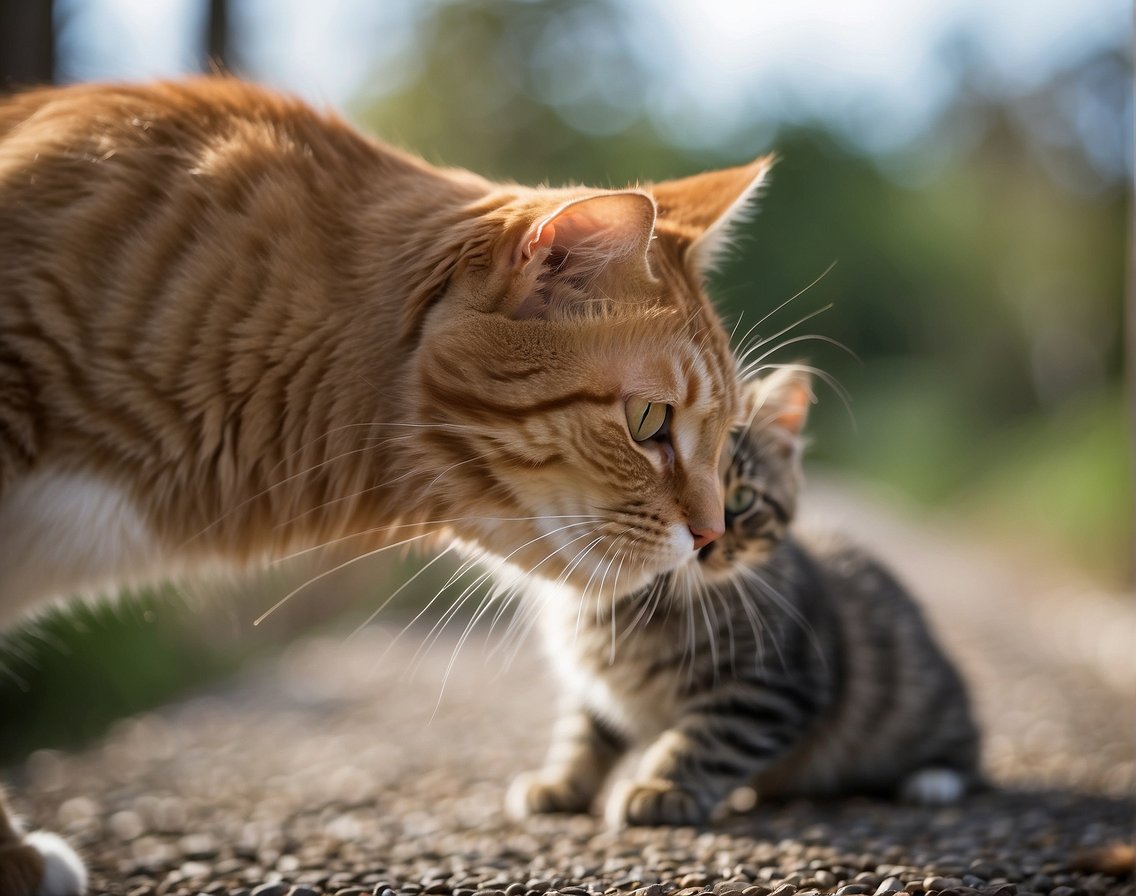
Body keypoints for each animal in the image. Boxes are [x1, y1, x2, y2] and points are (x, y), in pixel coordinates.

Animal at [511, 367, 981, 826]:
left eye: (739, 498)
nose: (706, 541)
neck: (638, 603)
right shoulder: (593, 686)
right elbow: (581, 734)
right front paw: (559, 783)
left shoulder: (768, 688)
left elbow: (700, 741)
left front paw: (662, 788)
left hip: (925, 697)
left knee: (963, 750)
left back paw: (932, 781)